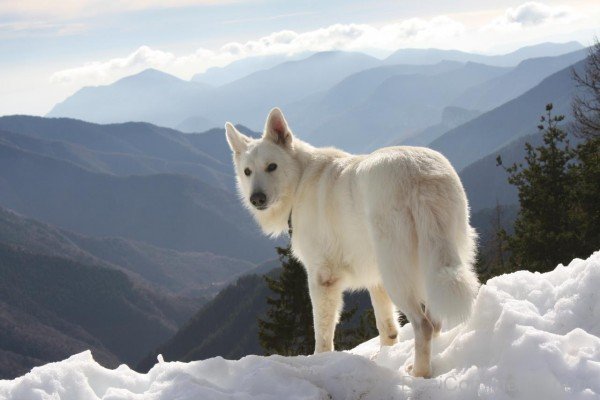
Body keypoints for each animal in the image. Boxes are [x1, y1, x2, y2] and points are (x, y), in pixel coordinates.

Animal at [224, 108, 478, 376]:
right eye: (247, 171)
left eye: (271, 166)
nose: (256, 199)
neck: (300, 178)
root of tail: (419, 175)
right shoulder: (375, 280)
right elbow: (386, 327)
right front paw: (384, 357)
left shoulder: (322, 279)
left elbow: (322, 334)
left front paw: (320, 362)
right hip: (437, 260)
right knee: (435, 320)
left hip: (397, 275)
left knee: (424, 325)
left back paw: (419, 373)